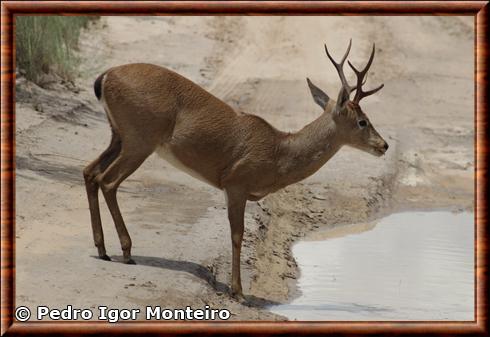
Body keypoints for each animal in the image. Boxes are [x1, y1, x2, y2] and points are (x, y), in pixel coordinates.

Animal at [84, 39, 388, 296]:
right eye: (362, 121)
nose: (383, 145)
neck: (279, 153)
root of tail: (105, 76)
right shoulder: (236, 183)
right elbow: (237, 234)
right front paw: (238, 290)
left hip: (119, 135)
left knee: (90, 172)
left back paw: (102, 249)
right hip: (140, 139)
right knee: (108, 180)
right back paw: (126, 252)